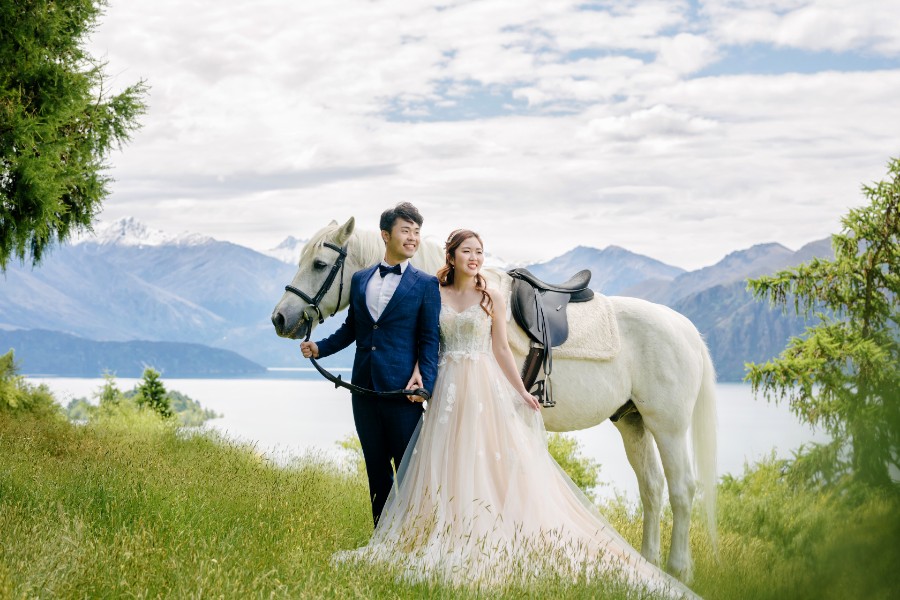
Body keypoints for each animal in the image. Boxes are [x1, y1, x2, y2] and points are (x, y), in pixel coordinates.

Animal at [268, 217, 716, 580]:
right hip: (633, 422)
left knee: (681, 489)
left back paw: (678, 569)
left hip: (668, 426)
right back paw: (649, 563)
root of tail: (687, 330)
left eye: (319, 264)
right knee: (652, 489)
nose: (280, 318)